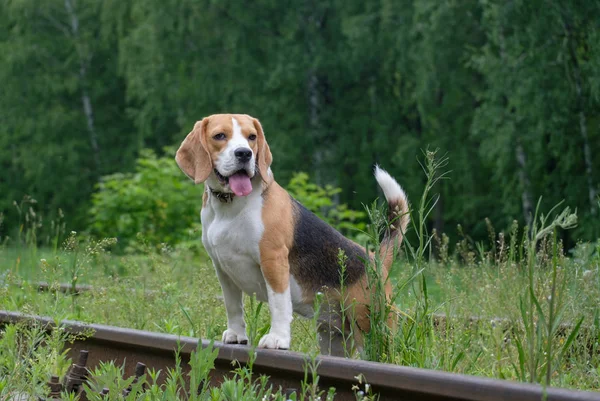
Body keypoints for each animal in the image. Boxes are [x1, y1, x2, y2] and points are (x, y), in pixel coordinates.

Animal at [173, 114, 408, 354]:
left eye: (252, 137)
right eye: (219, 136)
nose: (244, 153)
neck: (230, 205)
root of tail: (376, 258)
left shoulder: (273, 260)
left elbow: (279, 305)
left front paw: (278, 339)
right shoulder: (223, 267)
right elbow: (233, 306)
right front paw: (236, 335)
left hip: (371, 332)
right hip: (333, 336)